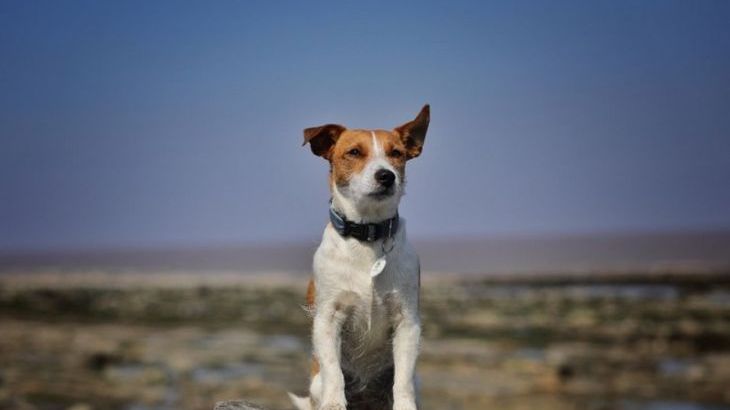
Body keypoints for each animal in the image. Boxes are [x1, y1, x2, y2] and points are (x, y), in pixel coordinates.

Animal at [288, 105, 426, 410]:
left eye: (396, 153)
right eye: (354, 152)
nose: (386, 175)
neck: (368, 237)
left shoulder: (407, 322)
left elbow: (403, 379)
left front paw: (405, 405)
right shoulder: (328, 319)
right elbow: (333, 370)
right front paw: (334, 403)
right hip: (315, 383)